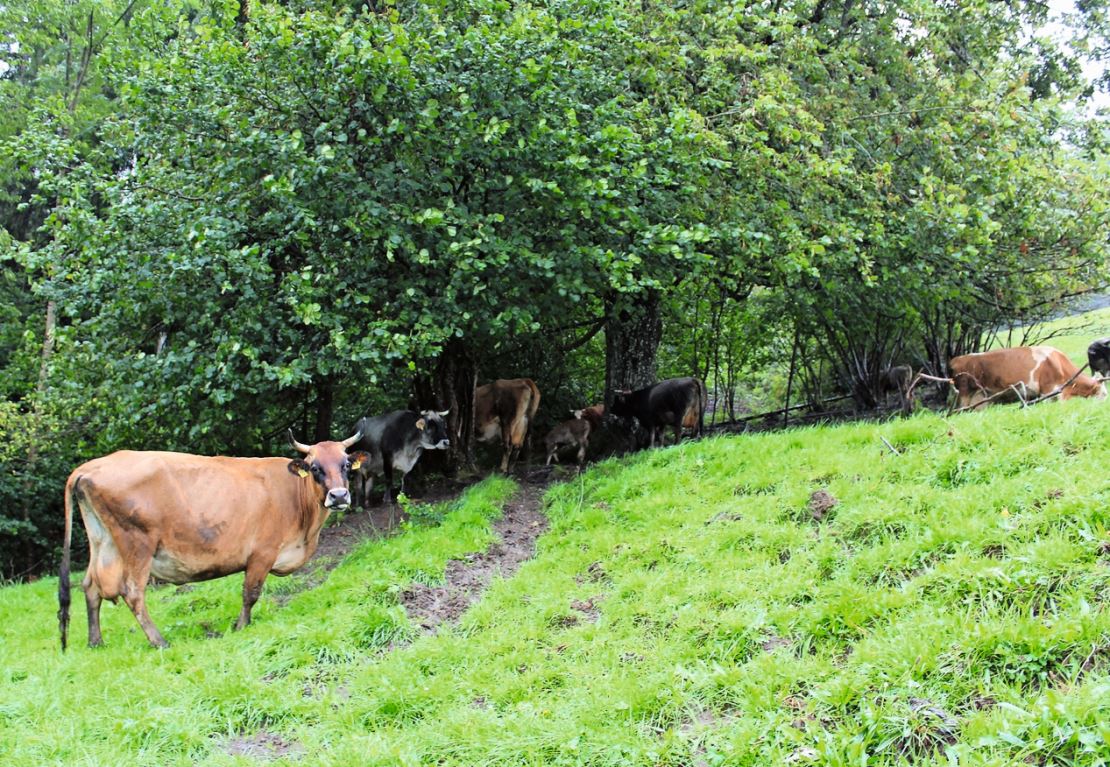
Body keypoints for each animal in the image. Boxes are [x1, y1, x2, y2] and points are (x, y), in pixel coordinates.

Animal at [58, 432, 368, 648]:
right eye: (315, 468)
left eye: (345, 464)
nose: (339, 496)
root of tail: (88, 467)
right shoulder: (262, 553)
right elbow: (250, 593)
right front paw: (240, 626)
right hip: (137, 544)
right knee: (132, 592)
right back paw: (159, 641)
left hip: (103, 543)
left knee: (90, 586)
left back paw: (95, 641)